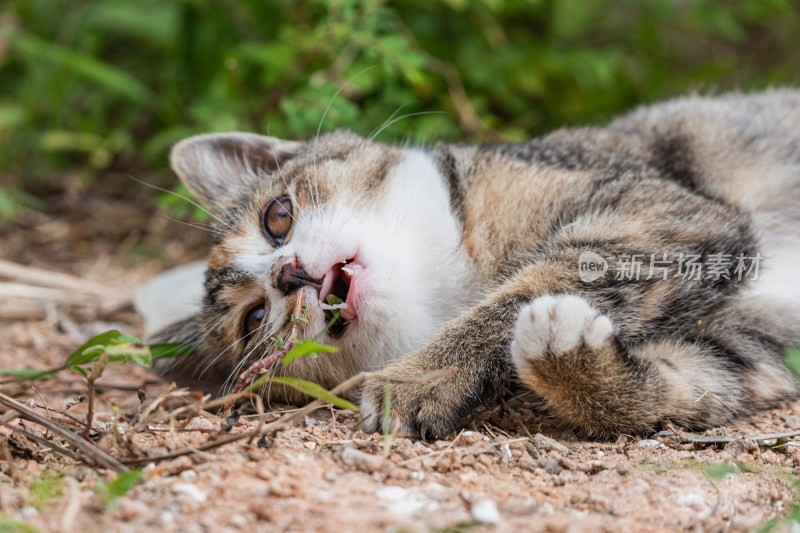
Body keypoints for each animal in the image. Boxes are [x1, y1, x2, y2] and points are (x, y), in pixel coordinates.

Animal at [144, 90, 800, 436]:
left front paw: (420, 378)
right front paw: (573, 360)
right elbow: (684, 386)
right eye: (254, 322)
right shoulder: (749, 348)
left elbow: (551, 274)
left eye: (276, 217)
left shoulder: (661, 210)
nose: (289, 273)